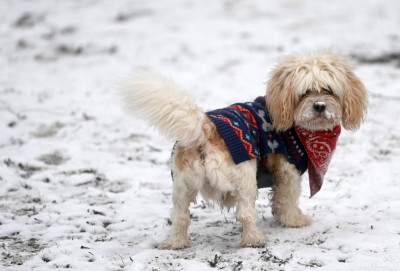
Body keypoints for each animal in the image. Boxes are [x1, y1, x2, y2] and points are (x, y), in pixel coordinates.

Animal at [119, 51, 368, 251]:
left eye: (328, 90)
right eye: (305, 92)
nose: (319, 106)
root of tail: (204, 129)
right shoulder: (288, 169)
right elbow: (287, 197)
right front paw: (293, 220)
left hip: (182, 185)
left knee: (180, 216)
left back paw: (176, 242)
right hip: (245, 179)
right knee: (245, 214)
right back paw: (254, 239)